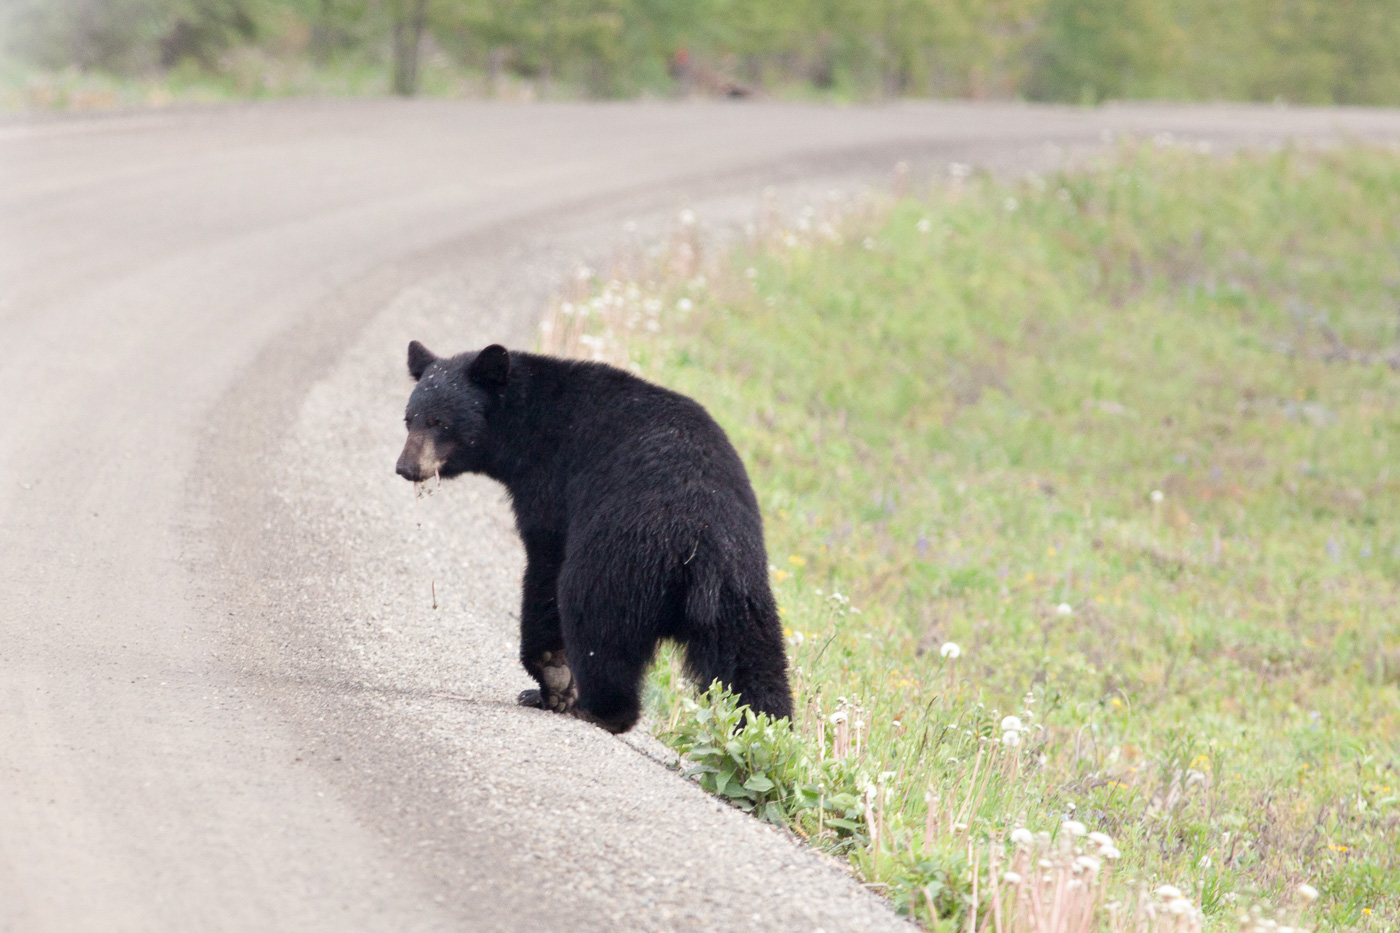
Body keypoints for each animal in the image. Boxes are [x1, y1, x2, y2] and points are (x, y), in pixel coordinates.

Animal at [396, 342, 792, 734]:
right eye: (409, 419)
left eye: (440, 422)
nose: (406, 467)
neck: (528, 422)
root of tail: (699, 541)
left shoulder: (551, 484)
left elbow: (545, 561)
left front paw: (551, 674)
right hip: (740, 592)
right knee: (752, 663)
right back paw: (768, 729)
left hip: (620, 560)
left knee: (595, 622)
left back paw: (595, 708)